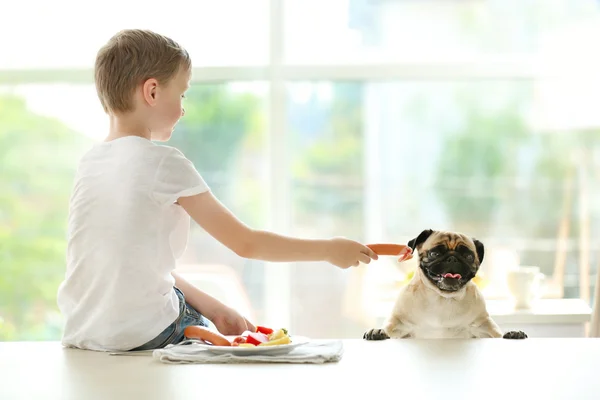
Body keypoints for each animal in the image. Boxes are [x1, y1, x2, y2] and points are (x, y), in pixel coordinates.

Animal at [360, 230, 524, 340]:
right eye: (435, 254)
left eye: (468, 256)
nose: (452, 259)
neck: (443, 298)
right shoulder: (400, 324)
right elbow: (389, 328)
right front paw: (378, 331)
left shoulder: (483, 326)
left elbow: (497, 333)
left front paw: (511, 333)